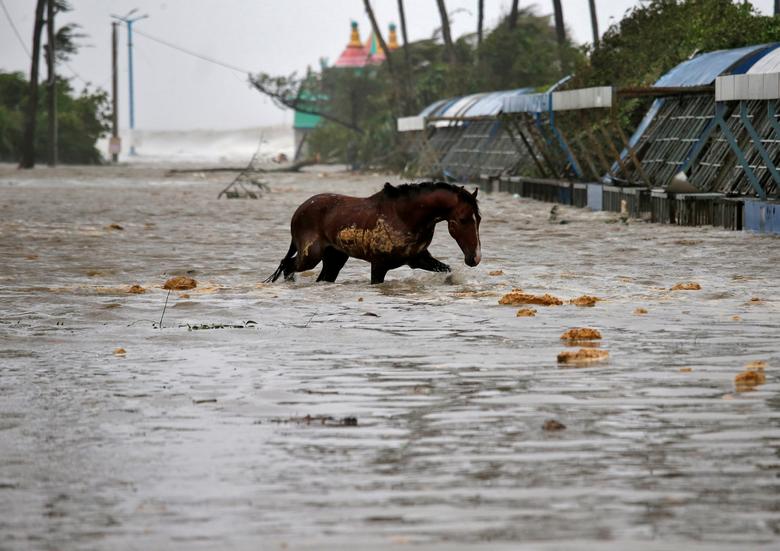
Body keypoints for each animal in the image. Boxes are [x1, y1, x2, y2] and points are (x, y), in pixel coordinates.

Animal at [266, 183, 478, 284]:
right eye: (463, 219)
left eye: (479, 218)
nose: (474, 258)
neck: (404, 216)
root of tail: (298, 212)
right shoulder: (378, 266)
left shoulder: (418, 259)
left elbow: (447, 270)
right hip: (310, 256)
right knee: (287, 265)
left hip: (335, 258)